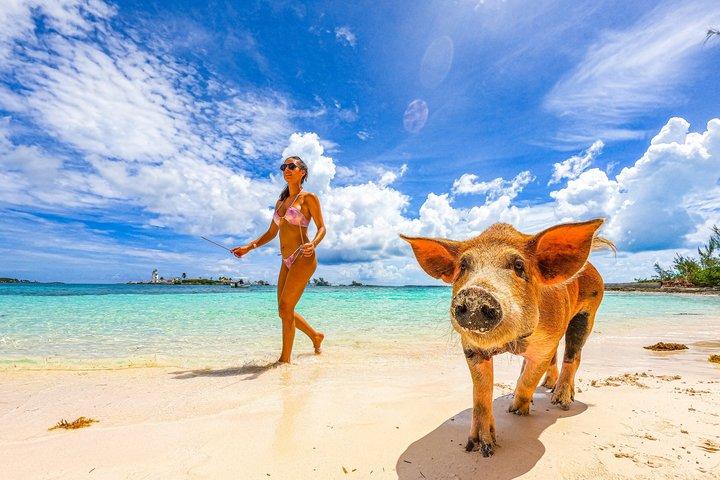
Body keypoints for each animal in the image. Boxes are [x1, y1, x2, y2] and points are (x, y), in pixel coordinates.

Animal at [400, 219, 614, 457]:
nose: (475, 294)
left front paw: (516, 410)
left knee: (573, 354)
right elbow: (481, 391)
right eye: (463, 266)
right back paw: (547, 386)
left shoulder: (546, 342)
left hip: (589, 311)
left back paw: (561, 401)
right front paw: (479, 447)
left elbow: (530, 378)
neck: (510, 343)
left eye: (519, 265)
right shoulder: (471, 346)